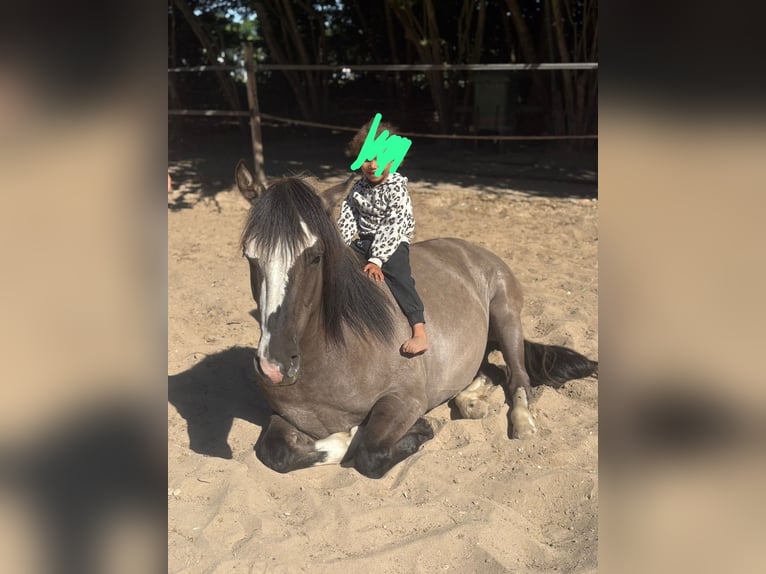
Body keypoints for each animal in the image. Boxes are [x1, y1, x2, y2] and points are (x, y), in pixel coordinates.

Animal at [235, 160, 597, 478]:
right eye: (250, 256)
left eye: (315, 256)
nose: (274, 366)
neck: (336, 354)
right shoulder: (283, 416)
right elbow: (274, 452)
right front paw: (341, 437)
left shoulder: (405, 400)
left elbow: (370, 452)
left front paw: (417, 427)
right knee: (488, 371)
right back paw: (470, 402)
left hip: (506, 315)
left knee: (517, 376)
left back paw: (523, 423)